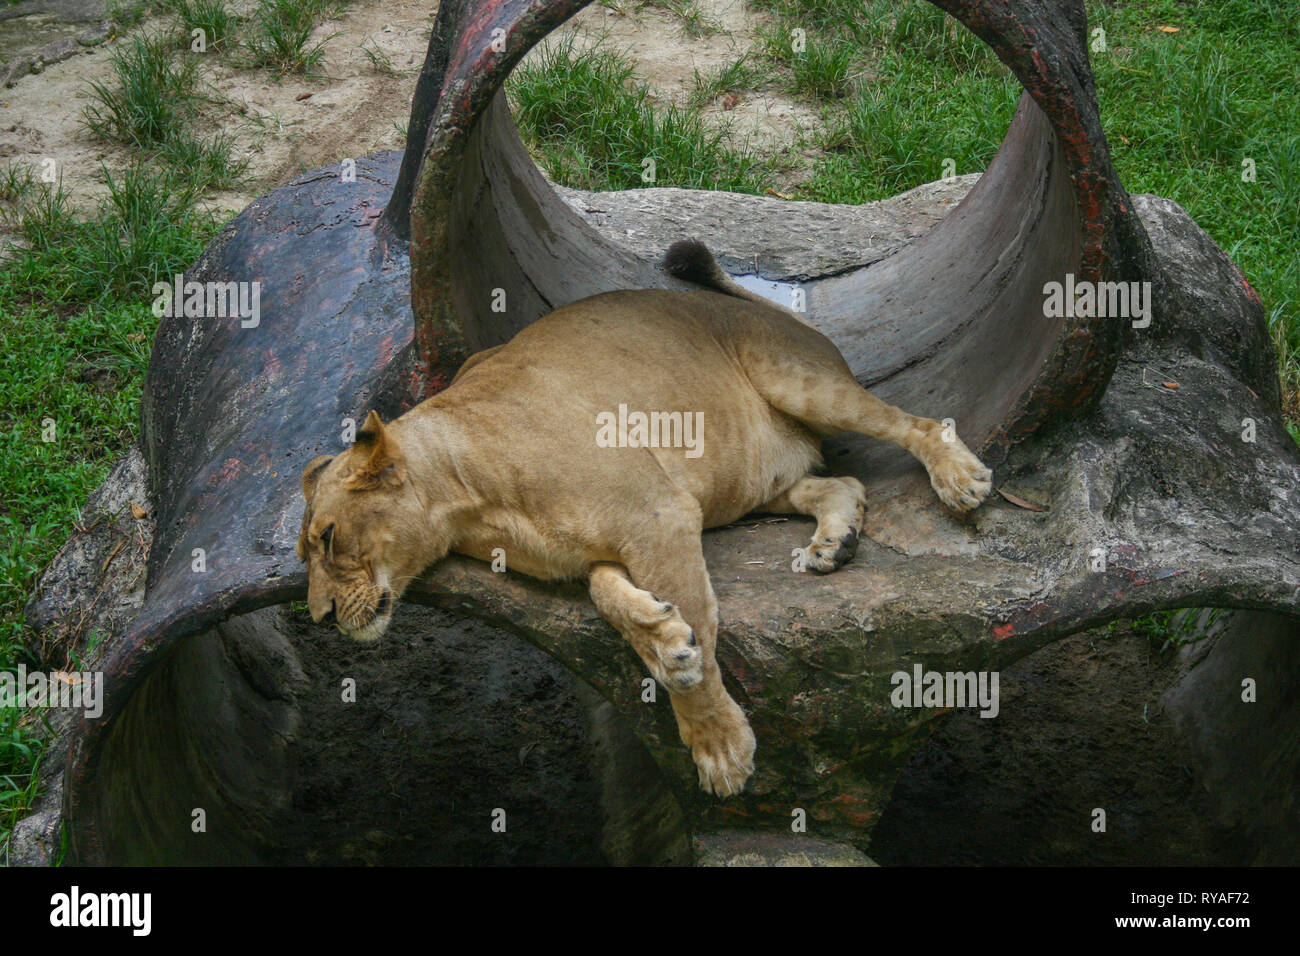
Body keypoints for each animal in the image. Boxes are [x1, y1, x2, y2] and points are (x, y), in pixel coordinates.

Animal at [296, 239, 993, 796]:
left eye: (328, 538)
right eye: (306, 554)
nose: (321, 619)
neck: (462, 499)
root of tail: (770, 311)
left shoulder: (658, 514)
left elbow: (700, 650)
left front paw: (717, 745)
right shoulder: (626, 533)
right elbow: (607, 594)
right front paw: (662, 640)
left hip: (799, 380)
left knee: (912, 422)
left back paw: (959, 479)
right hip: (752, 481)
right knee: (838, 482)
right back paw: (835, 540)